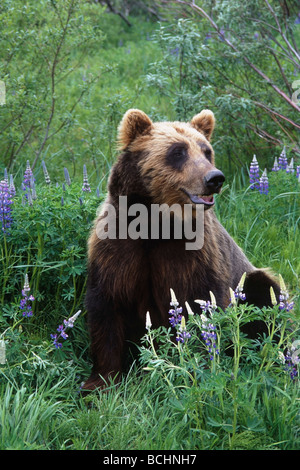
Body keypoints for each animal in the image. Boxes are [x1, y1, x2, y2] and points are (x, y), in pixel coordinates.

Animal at [81, 108, 278, 392]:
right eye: (178, 151)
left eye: (206, 151)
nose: (214, 178)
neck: (156, 224)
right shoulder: (118, 247)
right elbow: (106, 306)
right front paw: (100, 381)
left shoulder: (194, 255)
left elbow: (199, 304)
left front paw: (198, 367)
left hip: (248, 279)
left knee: (264, 292)